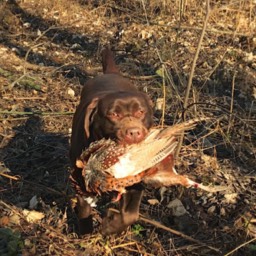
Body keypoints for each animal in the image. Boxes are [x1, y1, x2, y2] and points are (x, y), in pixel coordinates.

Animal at [70, 48, 153, 236]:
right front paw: (85, 233)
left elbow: (130, 215)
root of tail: (111, 73)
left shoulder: (135, 181)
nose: (134, 132)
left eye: (140, 112)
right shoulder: (80, 178)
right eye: (113, 114)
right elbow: (84, 209)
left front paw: (109, 225)